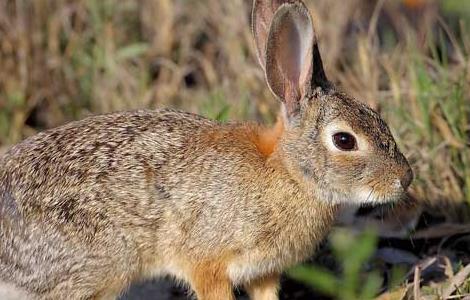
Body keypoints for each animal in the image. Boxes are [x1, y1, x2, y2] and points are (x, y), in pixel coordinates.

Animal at [0, 0, 412, 298]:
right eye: (344, 140)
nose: (404, 179)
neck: (289, 174)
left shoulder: (262, 272)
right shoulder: (207, 263)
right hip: (99, 265)